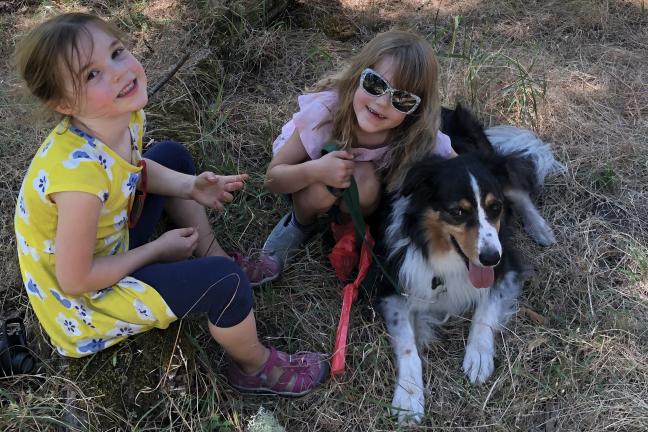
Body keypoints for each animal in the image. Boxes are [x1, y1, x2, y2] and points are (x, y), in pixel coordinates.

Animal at [374, 105, 560, 426]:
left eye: (494, 208)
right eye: (458, 212)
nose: (490, 258)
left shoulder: (506, 266)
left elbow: (485, 310)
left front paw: (479, 355)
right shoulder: (392, 282)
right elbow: (408, 344)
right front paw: (408, 396)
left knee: (518, 191)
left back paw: (540, 228)